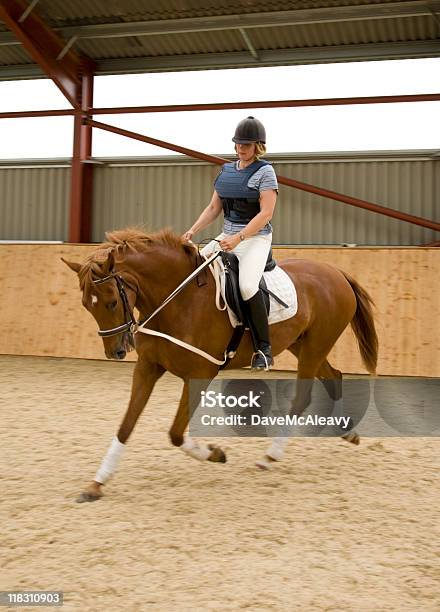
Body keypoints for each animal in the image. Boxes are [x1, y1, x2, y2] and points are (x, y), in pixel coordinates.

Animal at [62, 227, 378, 500]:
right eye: (86, 305)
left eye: (112, 302)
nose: (114, 351)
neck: (177, 301)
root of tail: (336, 272)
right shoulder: (147, 369)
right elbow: (125, 427)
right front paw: (97, 484)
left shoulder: (200, 374)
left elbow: (175, 434)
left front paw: (215, 454)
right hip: (302, 345)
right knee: (333, 376)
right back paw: (346, 431)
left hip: (315, 346)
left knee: (304, 396)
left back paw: (270, 456)